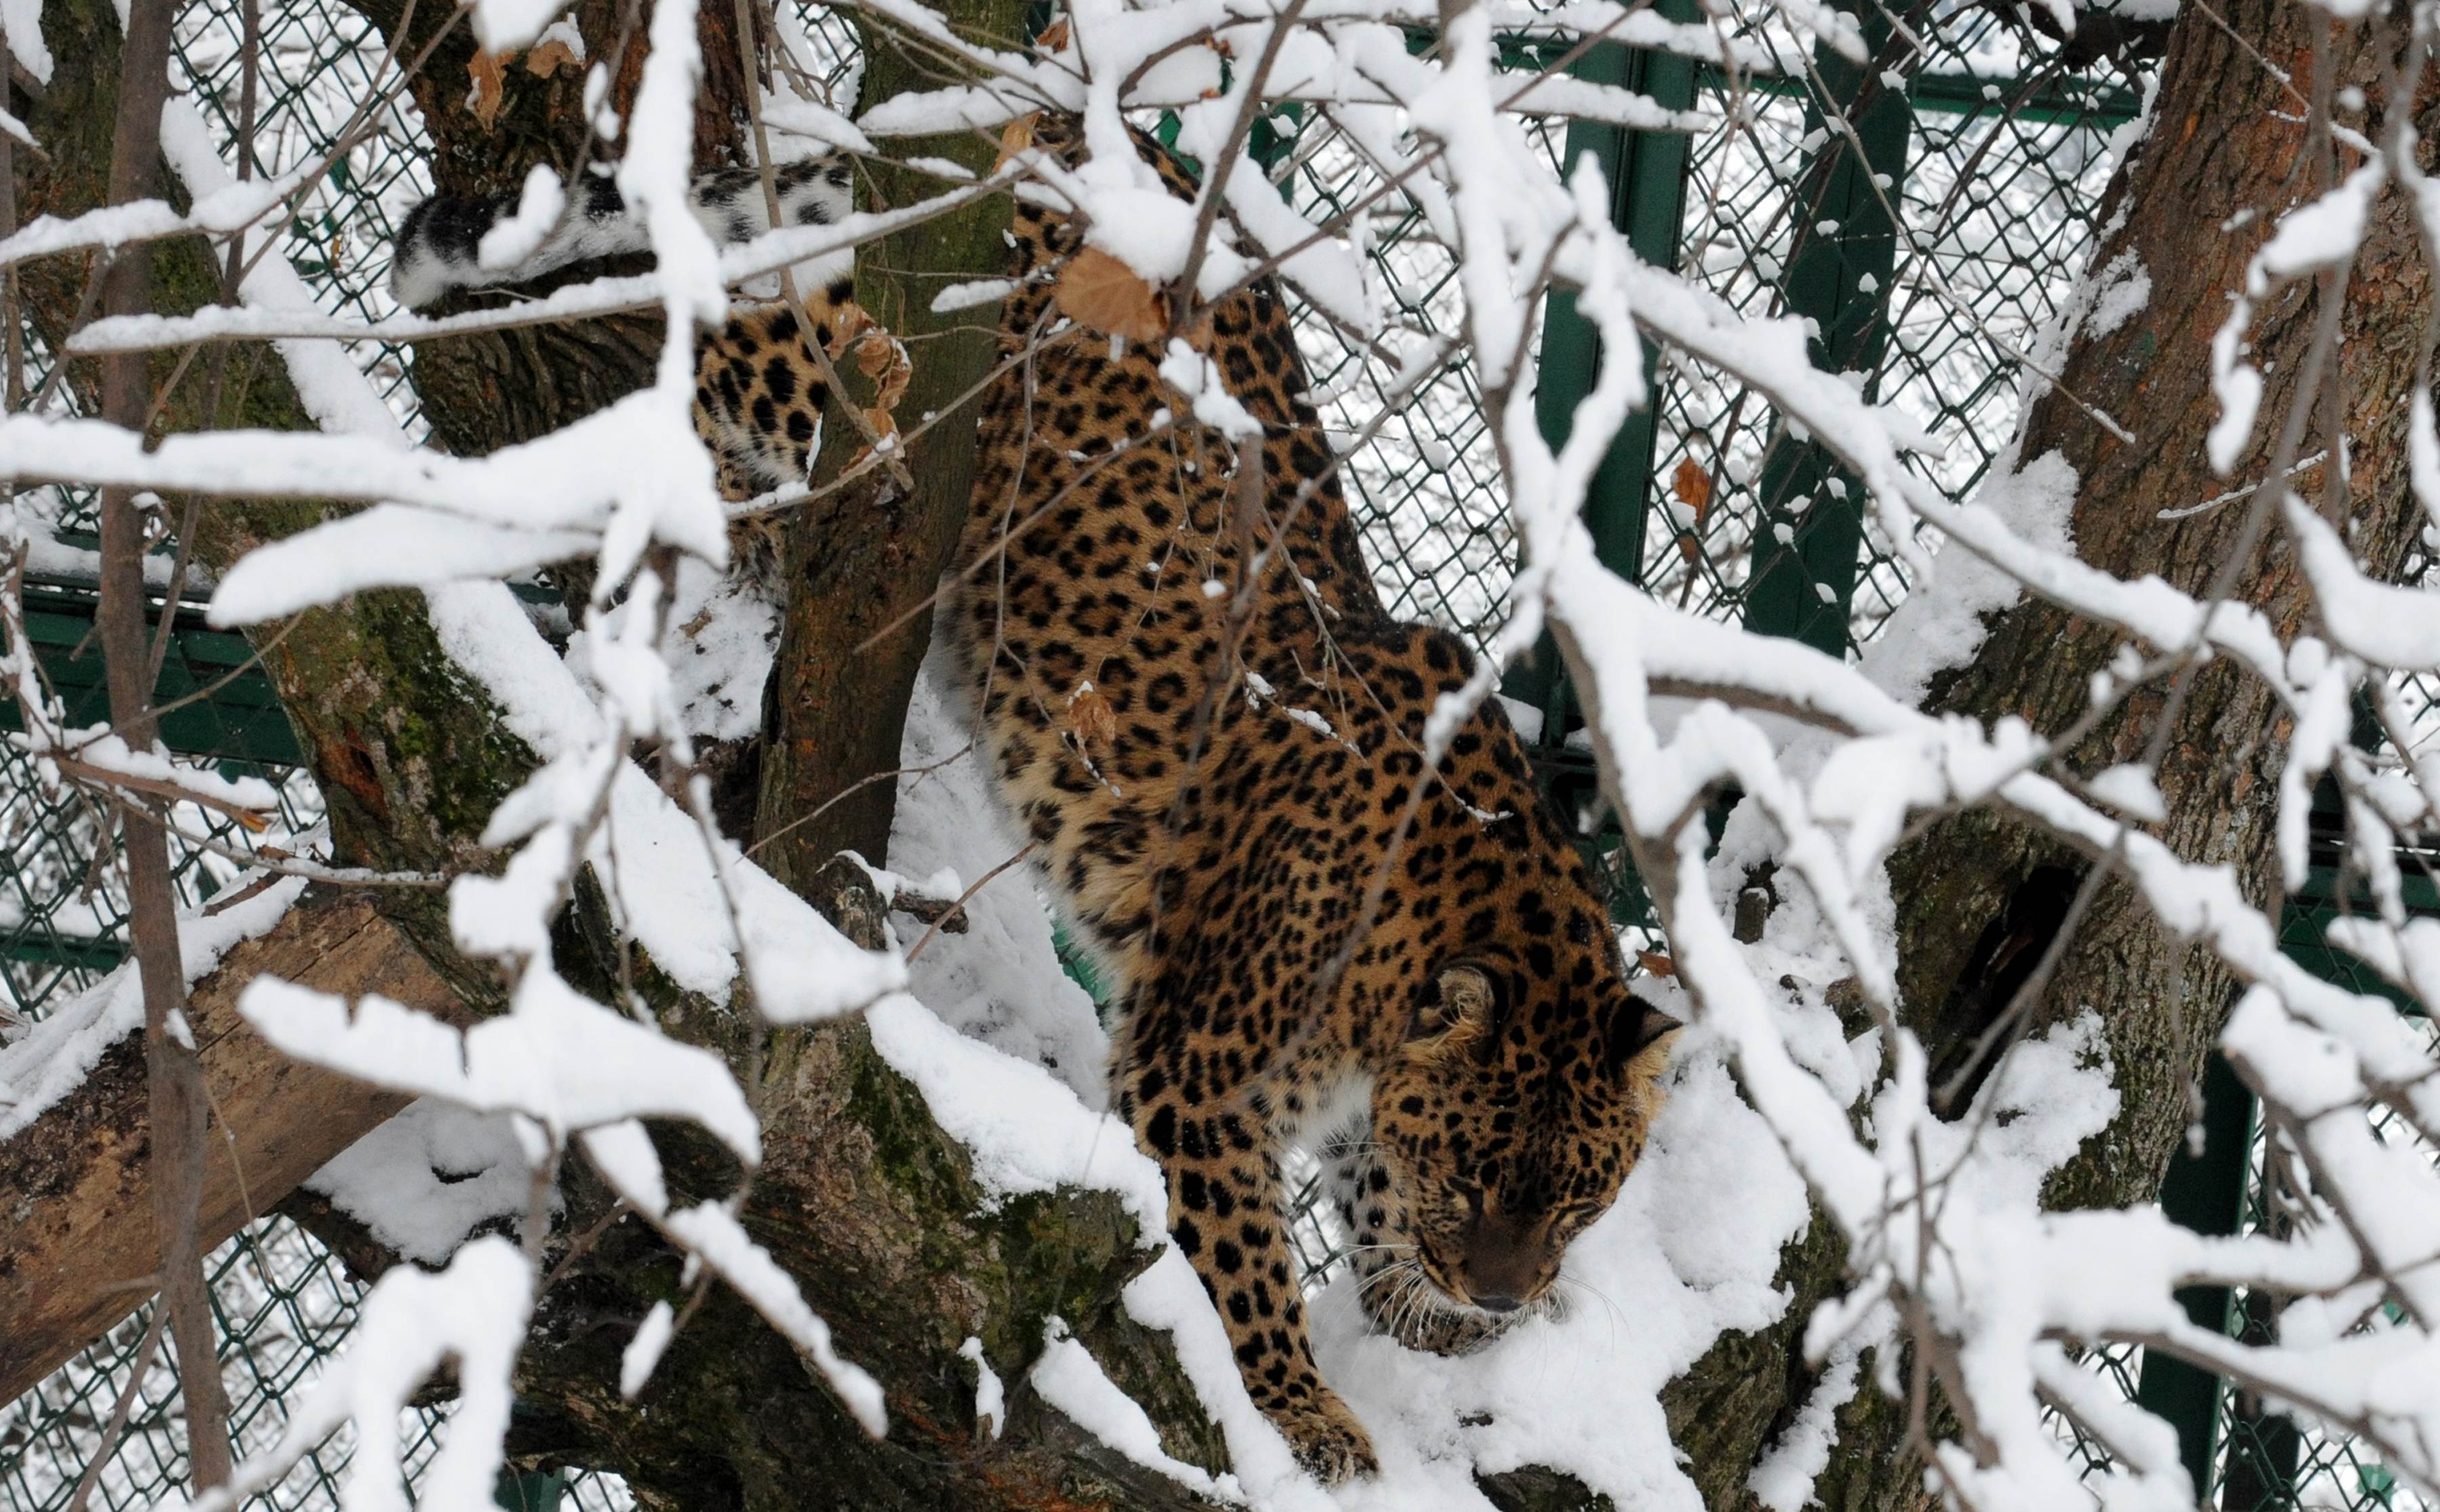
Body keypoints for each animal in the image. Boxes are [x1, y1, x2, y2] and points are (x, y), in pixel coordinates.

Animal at [941, 121, 1688, 1492]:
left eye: (1577, 1196)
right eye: (1474, 1173)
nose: (1499, 1300)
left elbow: (1367, 1194)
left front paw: (1418, 1319)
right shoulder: (1192, 1076)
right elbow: (1245, 1258)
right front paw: (1304, 1412)